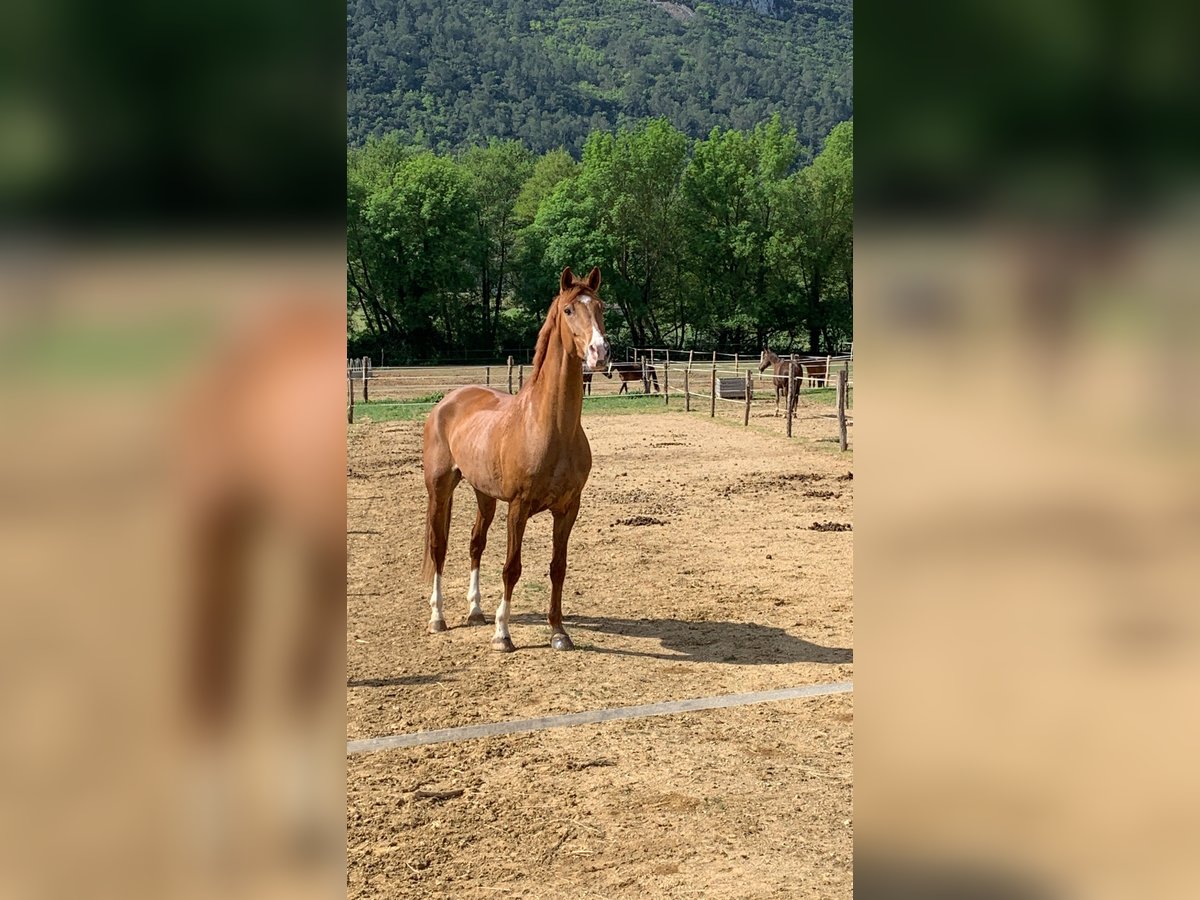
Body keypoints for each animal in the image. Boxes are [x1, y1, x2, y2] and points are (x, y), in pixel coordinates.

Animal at [422, 264, 609, 652]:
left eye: (601, 307)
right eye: (569, 310)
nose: (600, 352)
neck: (550, 428)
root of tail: (446, 402)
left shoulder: (569, 508)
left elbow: (558, 567)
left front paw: (558, 631)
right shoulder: (518, 507)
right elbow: (512, 567)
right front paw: (502, 634)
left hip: (484, 495)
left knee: (475, 544)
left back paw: (475, 611)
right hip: (439, 489)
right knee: (438, 547)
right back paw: (438, 617)